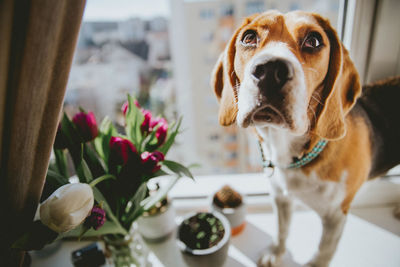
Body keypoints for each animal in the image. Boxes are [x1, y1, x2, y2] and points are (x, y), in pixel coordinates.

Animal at [211, 10, 400, 267]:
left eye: (314, 40)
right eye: (249, 37)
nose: (270, 71)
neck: (294, 154)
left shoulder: (336, 217)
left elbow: (324, 251)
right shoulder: (281, 198)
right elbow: (282, 230)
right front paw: (276, 252)